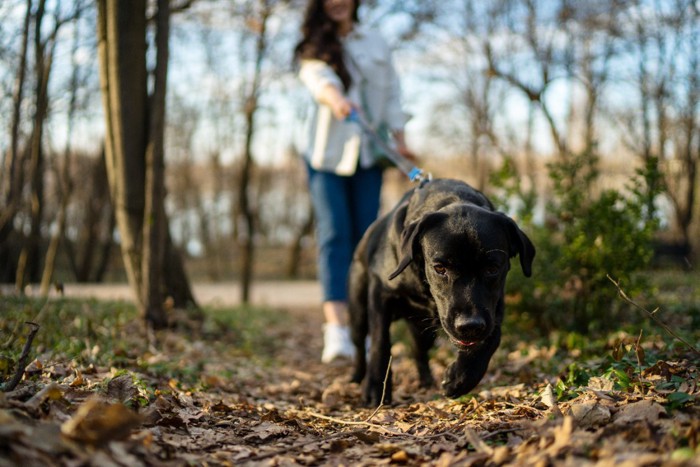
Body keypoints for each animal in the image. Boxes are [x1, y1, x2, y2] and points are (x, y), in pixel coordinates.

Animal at [350, 179, 536, 406]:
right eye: (440, 268)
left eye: (493, 268)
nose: (469, 325)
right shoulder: (381, 294)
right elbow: (379, 342)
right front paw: (376, 388)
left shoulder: (494, 307)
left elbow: (492, 338)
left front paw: (460, 378)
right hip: (358, 312)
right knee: (360, 346)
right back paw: (357, 377)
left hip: (423, 331)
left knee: (419, 351)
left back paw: (426, 380)